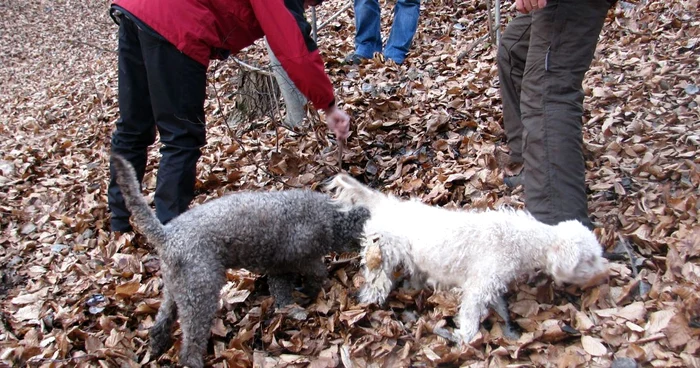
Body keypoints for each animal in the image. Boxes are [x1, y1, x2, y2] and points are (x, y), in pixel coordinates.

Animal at [109, 154, 370, 366]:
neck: (331, 217)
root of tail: (167, 234)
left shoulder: (279, 269)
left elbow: (282, 295)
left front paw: (291, 309)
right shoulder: (301, 256)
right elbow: (317, 273)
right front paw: (310, 293)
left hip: (178, 289)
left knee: (161, 322)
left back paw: (155, 348)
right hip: (200, 292)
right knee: (191, 342)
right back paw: (192, 360)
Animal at [328, 174, 608, 344]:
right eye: (589, 259)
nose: (605, 273)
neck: (520, 238)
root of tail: (389, 206)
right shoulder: (479, 285)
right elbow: (471, 314)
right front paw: (465, 338)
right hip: (382, 253)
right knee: (376, 281)